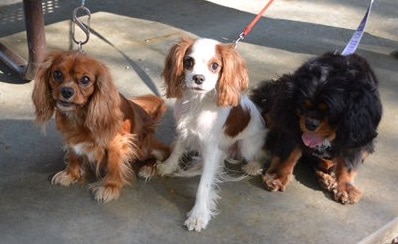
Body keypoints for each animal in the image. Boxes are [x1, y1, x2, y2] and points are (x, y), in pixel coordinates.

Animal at [252, 52, 382, 204]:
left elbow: (348, 163)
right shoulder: (291, 122)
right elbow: (287, 152)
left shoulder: (358, 131)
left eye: (330, 112)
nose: (310, 124)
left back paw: (328, 176)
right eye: (303, 105)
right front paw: (277, 176)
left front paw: (346, 187)